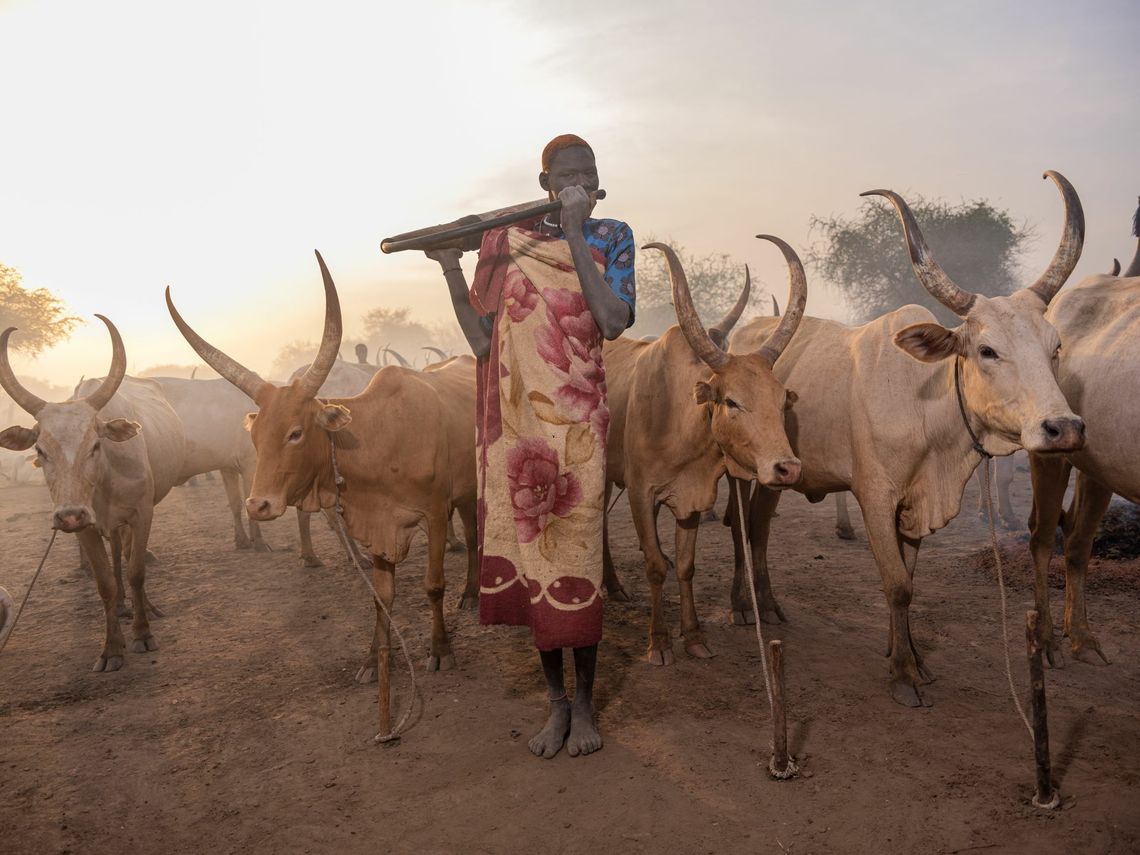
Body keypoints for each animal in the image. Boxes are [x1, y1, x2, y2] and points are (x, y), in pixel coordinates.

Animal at [0, 319, 184, 674]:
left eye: (95, 445)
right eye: (40, 450)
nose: (70, 514)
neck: (104, 480)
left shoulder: (142, 514)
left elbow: (137, 571)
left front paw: (143, 634)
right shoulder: (85, 529)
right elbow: (105, 584)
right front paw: (112, 649)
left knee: (128, 555)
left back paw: (143, 607)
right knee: (117, 557)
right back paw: (124, 606)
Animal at [166, 250, 478, 734]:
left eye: (296, 432)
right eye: (256, 436)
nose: (259, 504)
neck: (378, 438)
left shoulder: (433, 513)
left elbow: (433, 585)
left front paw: (441, 650)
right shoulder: (379, 527)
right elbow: (380, 597)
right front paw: (372, 659)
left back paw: (473, 594)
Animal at [601, 238, 807, 665]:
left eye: (782, 400)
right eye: (731, 401)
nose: (788, 468)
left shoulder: (692, 500)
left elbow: (685, 566)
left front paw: (693, 635)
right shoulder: (639, 493)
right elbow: (654, 567)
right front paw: (659, 641)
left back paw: (612, 585)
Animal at [725, 171, 1089, 706]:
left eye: (1055, 346)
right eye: (987, 350)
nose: (1064, 428)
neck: (924, 407)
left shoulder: (915, 505)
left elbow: (910, 579)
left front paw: (912, 655)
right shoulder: (876, 496)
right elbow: (895, 583)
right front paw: (903, 675)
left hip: (780, 473)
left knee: (758, 527)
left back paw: (768, 604)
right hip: (737, 468)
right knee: (737, 525)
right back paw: (740, 605)